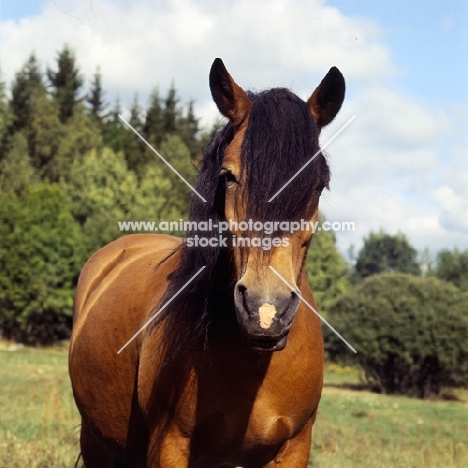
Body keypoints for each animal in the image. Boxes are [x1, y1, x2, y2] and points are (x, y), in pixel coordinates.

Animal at [68, 58, 344, 468]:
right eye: (227, 176)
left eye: (318, 184)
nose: (265, 311)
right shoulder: (169, 445)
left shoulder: (294, 449)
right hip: (96, 441)